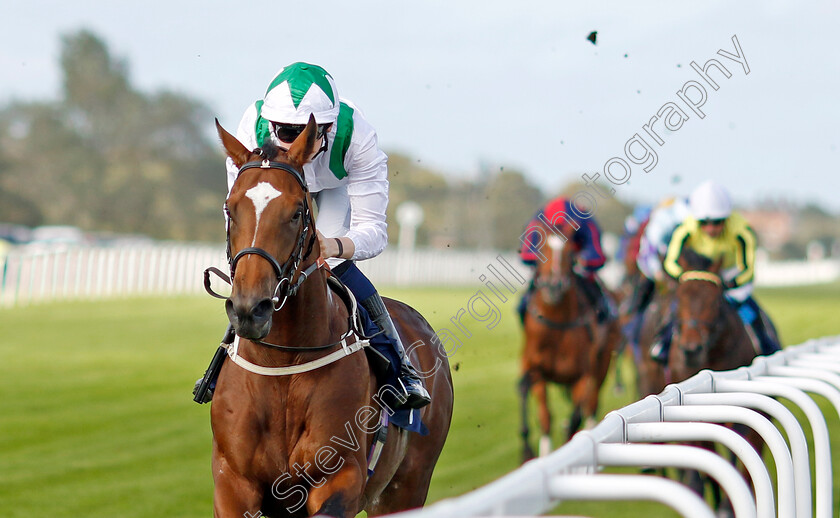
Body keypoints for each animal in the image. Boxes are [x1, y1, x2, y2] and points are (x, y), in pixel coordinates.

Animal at [213, 118, 456, 518]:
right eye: (230, 210)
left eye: (297, 212)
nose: (251, 308)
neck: (282, 365)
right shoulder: (233, 482)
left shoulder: (339, 476)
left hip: (406, 486)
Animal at [516, 221, 620, 462]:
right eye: (542, 248)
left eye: (570, 251)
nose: (553, 285)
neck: (557, 322)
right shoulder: (535, 368)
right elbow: (543, 414)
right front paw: (531, 451)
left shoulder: (583, 375)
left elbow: (575, 417)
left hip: (602, 364)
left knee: (591, 406)